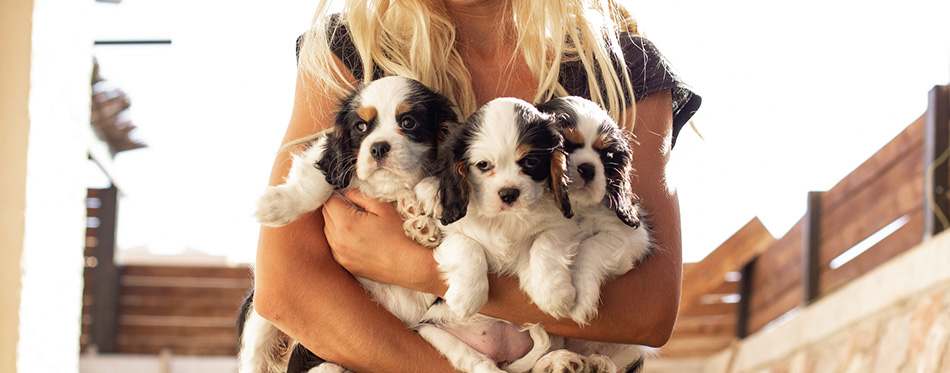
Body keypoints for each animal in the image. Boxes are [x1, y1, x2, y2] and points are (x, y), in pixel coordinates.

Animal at [236, 75, 456, 372]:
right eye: (360, 126)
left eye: (409, 122)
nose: (378, 147)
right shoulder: (323, 159)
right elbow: (319, 185)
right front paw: (276, 205)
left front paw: (424, 217)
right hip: (258, 317)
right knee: (255, 356)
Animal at [536, 96, 656, 372]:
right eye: (566, 144)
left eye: (607, 155)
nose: (588, 168)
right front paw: (551, 291)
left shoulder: (633, 237)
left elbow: (590, 245)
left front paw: (581, 301)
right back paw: (559, 362)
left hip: (632, 348)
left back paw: (596, 363)